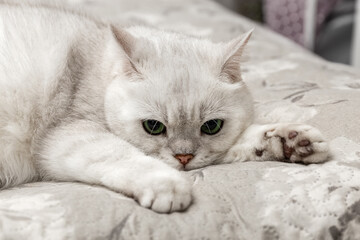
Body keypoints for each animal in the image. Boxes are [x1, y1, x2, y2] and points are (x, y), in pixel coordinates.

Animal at [0, 2, 328, 213]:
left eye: (211, 127)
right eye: (153, 127)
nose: (183, 157)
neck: (95, 70)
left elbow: (241, 141)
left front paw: (293, 141)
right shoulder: (65, 136)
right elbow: (122, 155)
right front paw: (167, 186)